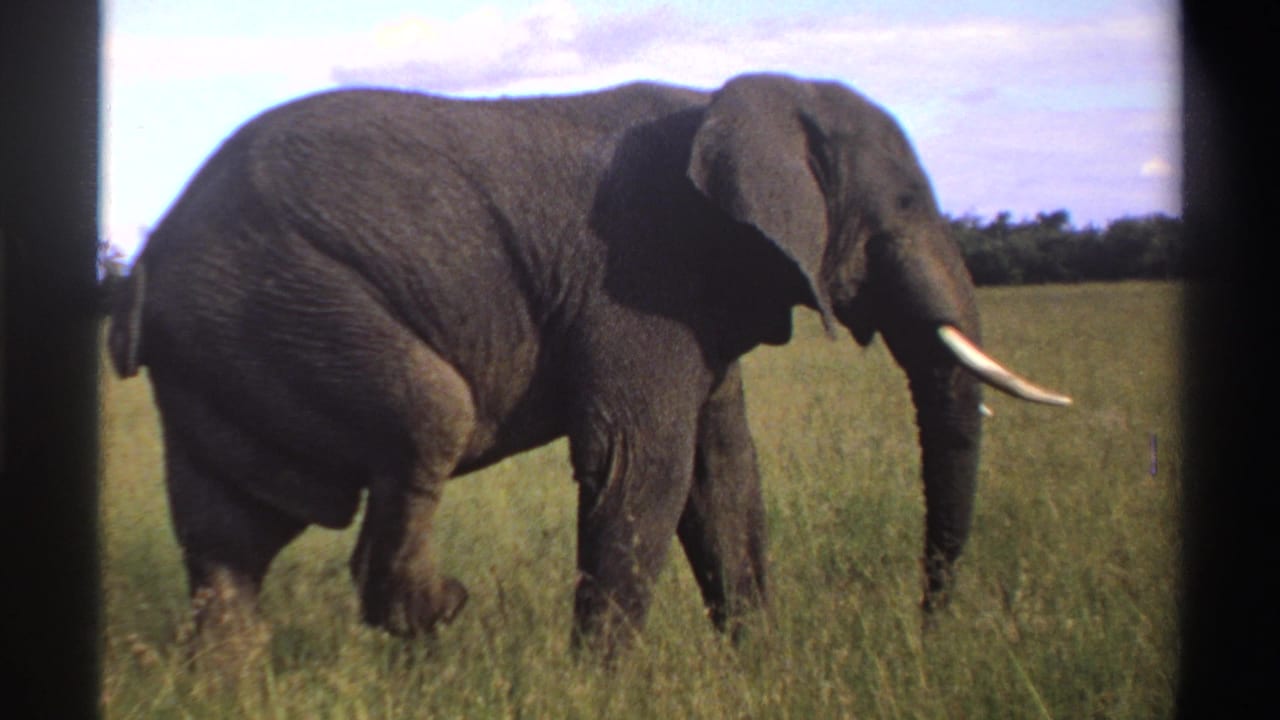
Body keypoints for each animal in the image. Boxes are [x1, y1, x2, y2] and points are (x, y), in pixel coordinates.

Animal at [108, 73, 1070, 657]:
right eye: (904, 203)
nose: (930, 627)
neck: (742, 100)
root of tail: (147, 264)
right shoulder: (637, 276)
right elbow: (644, 466)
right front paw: (601, 684)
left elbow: (726, 475)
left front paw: (759, 665)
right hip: (283, 301)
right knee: (430, 414)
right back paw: (441, 612)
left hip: (226, 345)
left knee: (224, 544)